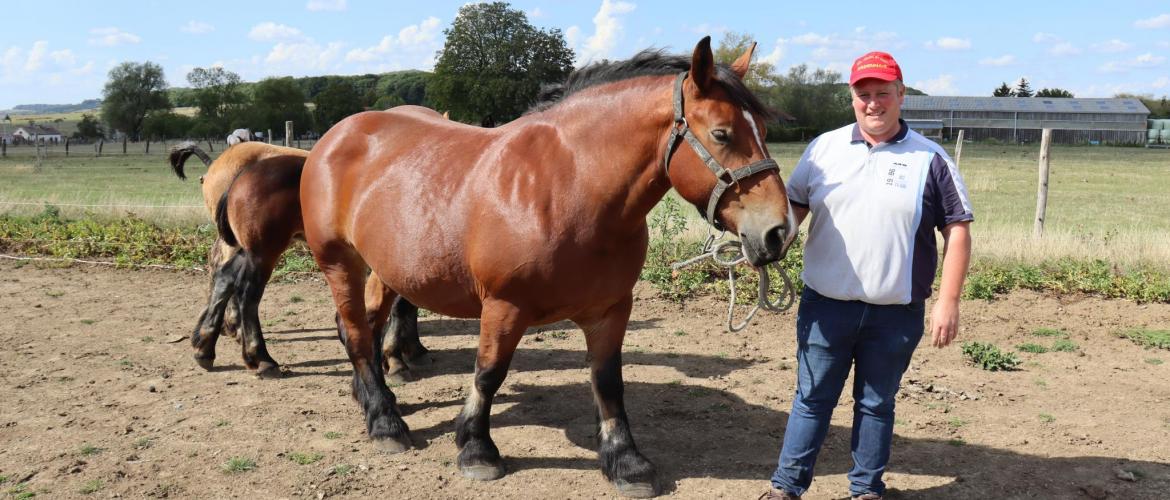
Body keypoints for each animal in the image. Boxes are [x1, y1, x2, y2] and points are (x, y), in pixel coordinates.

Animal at [169, 141, 430, 379]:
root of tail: (239, 176)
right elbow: (399, 306)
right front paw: (395, 358)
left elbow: (406, 305)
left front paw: (411, 349)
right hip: (262, 253)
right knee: (247, 294)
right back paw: (260, 358)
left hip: (248, 250)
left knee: (225, 276)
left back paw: (205, 347)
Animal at [301, 38, 795, 496]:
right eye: (722, 134)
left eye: (762, 129)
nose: (778, 232)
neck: (567, 186)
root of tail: (338, 133)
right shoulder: (504, 307)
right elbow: (489, 373)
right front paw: (477, 449)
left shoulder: (612, 309)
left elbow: (608, 381)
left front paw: (625, 461)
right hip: (339, 262)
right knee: (355, 332)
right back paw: (385, 421)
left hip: (386, 267)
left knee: (365, 325)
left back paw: (373, 398)